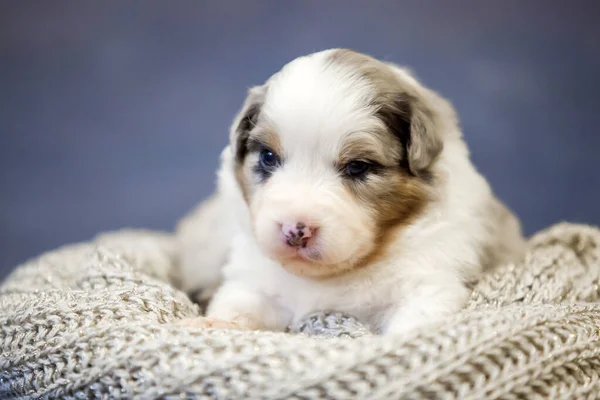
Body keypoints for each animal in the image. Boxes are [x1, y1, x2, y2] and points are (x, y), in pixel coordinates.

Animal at [175, 48, 524, 334]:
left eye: (357, 167)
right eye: (268, 157)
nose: (295, 231)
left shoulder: (431, 284)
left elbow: (416, 323)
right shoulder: (255, 280)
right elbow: (240, 305)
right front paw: (214, 324)